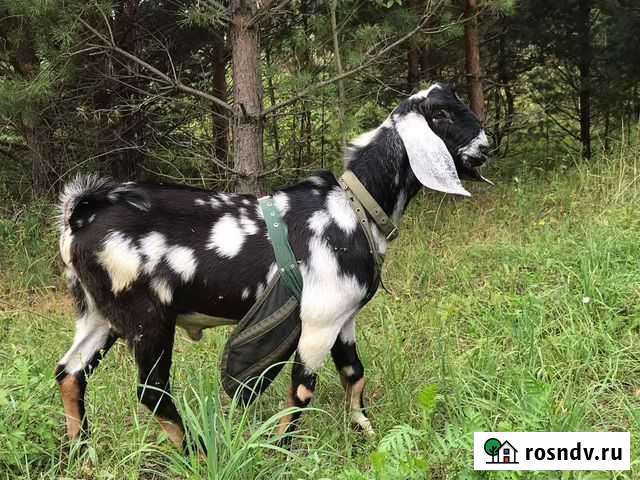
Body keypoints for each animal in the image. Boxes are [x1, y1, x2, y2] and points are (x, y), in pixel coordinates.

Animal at [55, 83, 490, 449]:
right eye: (441, 115)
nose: (488, 145)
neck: (354, 207)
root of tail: (82, 213)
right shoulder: (319, 319)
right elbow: (302, 389)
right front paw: (282, 449)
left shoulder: (344, 317)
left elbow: (355, 372)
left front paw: (365, 431)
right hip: (147, 317)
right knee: (152, 390)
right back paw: (196, 452)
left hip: (99, 315)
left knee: (69, 373)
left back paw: (81, 451)